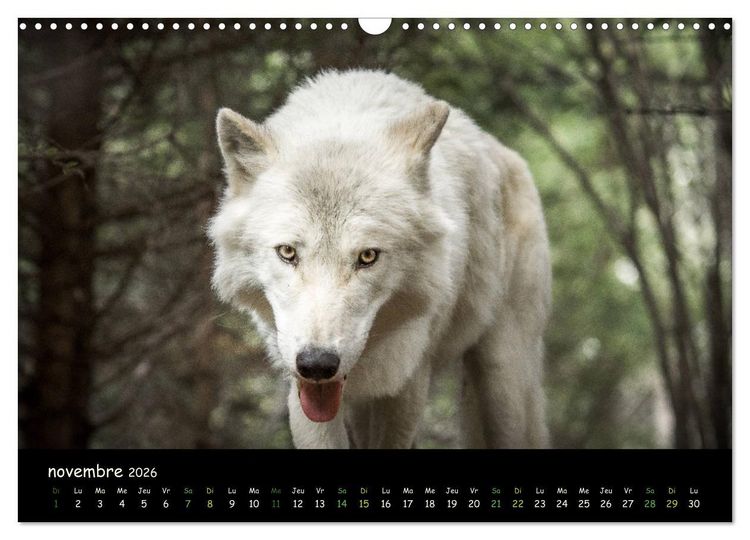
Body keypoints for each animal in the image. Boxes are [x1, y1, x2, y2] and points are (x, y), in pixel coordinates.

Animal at [208, 70, 551, 449]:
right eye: (288, 252)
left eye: (368, 256)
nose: (317, 363)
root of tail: (503, 150)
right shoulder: (303, 384)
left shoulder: (408, 382)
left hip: (503, 382)